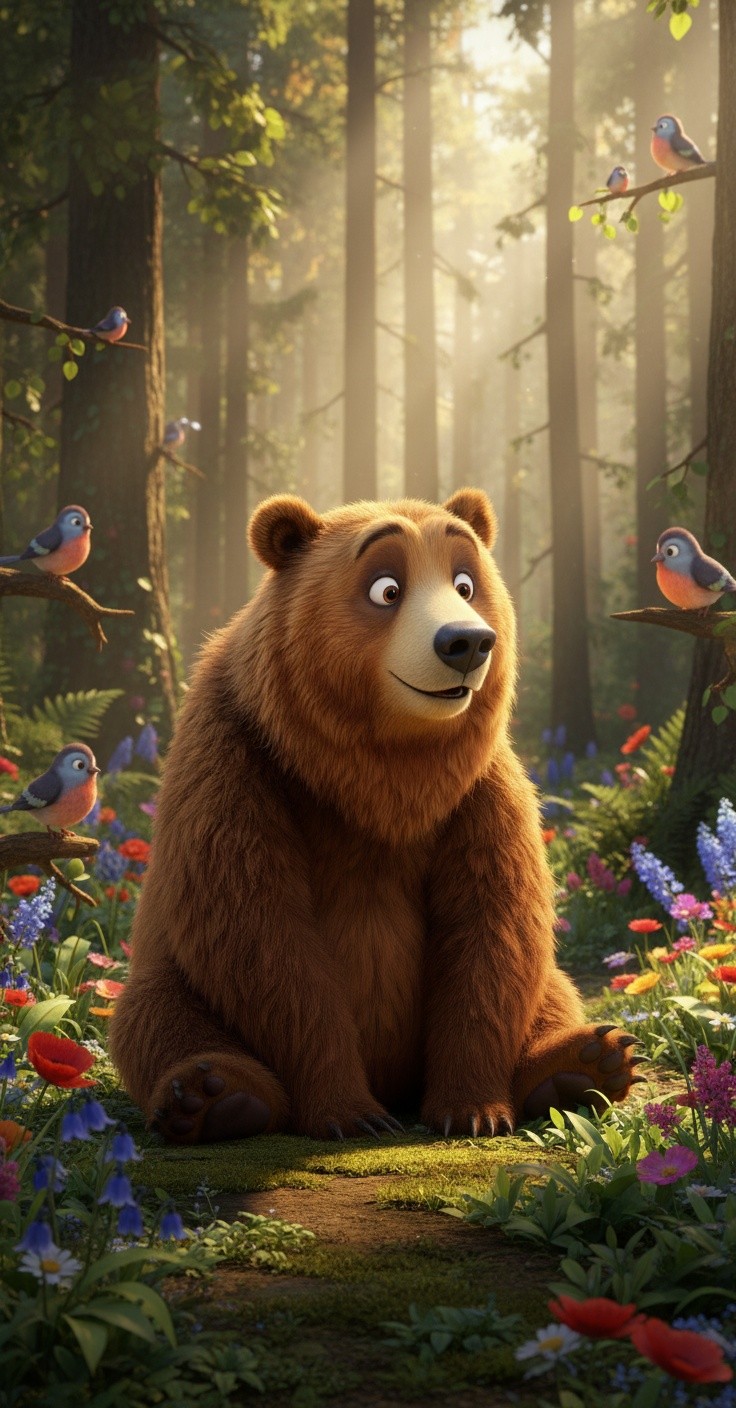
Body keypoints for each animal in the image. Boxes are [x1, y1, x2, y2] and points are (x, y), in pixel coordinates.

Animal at [110, 488, 640, 1143]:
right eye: (387, 589)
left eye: (465, 583)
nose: (466, 642)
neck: (379, 771)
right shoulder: (237, 762)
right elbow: (258, 928)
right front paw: (348, 1111)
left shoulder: (477, 791)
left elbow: (492, 925)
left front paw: (471, 1109)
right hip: (170, 976)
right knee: (153, 1015)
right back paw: (214, 1095)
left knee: (549, 989)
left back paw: (584, 1063)